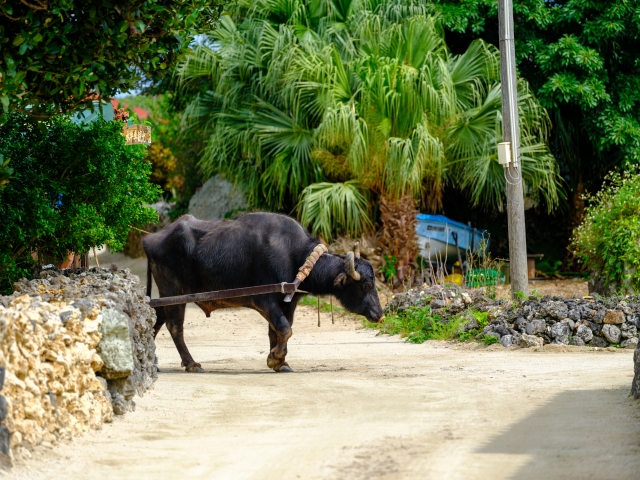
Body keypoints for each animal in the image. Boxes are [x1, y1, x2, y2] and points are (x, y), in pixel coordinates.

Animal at [142, 212, 382, 374]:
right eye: (366, 285)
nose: (379, 314)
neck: (294, 255)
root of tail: (150, 239)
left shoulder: (288, 302)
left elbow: (277, 330)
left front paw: (281, 362)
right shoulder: (263, 300)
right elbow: (284, 329)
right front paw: (274, 358)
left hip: (168, 295)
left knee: (157, 318)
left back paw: (152, 360)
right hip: (173, 290)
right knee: (174, 326)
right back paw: (191, 364)